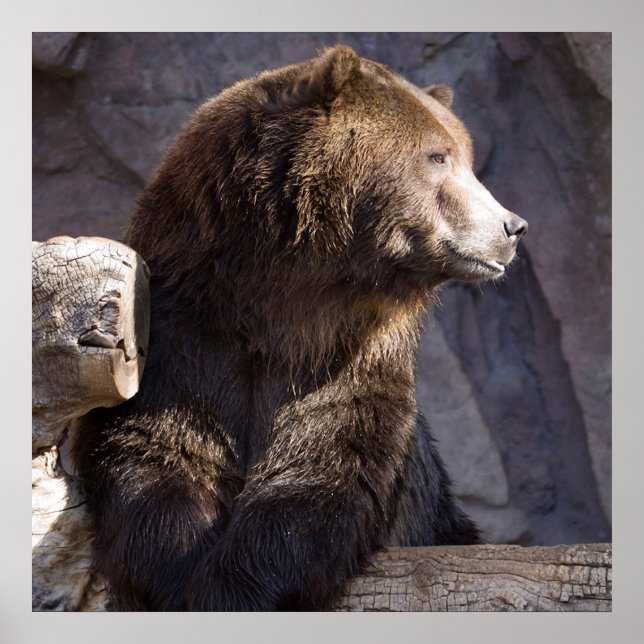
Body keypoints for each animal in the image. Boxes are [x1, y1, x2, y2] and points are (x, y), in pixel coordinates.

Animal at [72, 44, 528, 611]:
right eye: (438, 156)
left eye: (461, 154)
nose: (511, 226)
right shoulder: (186, 332)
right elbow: (159, 448)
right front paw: (175, 577)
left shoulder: (343, 358)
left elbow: (321, 465)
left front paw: (230, 590)